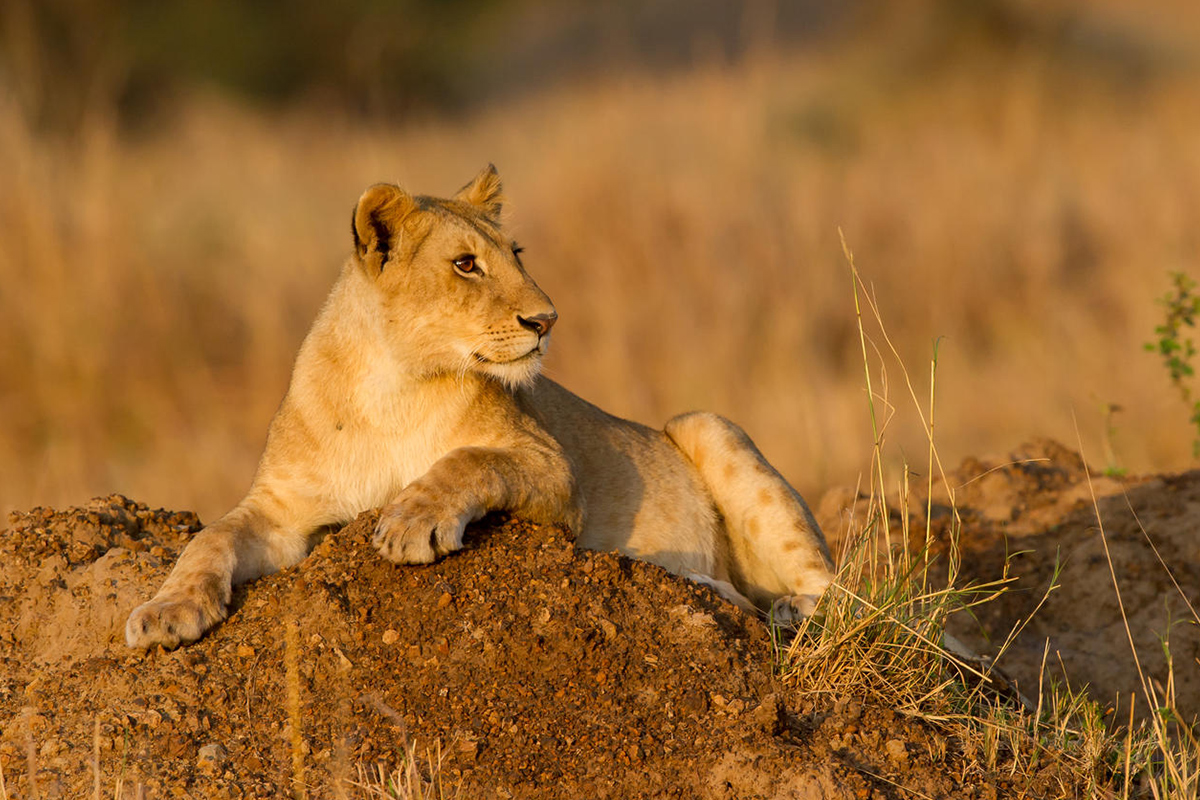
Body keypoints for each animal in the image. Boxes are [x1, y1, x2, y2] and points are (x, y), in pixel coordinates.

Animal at [125, 165, 835, 649]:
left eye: (515, 255)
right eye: (466, 264)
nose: (546, 321)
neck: (393, 384)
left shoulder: (554, 471)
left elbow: (467, 461)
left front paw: (411, 521)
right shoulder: (282, 508)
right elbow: (212, 536)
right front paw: (164, 612)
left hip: (704, 425)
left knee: (838, 593)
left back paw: (776, 606)